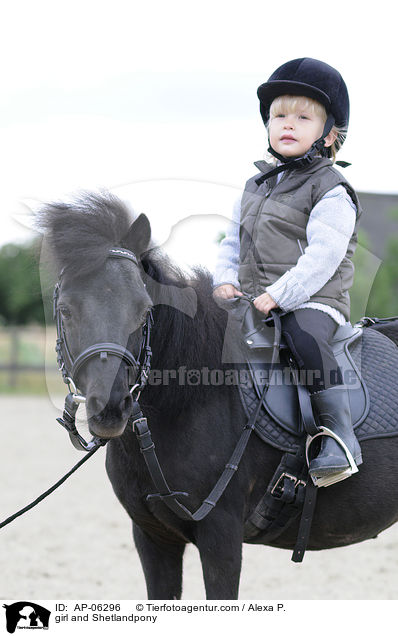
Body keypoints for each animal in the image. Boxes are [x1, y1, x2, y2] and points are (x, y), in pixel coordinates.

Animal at [38, 191, 398, 600]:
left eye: (143, 311)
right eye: (66, 310)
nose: (112, 408)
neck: (190, 401)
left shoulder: (221, 538)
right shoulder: (152, 537)